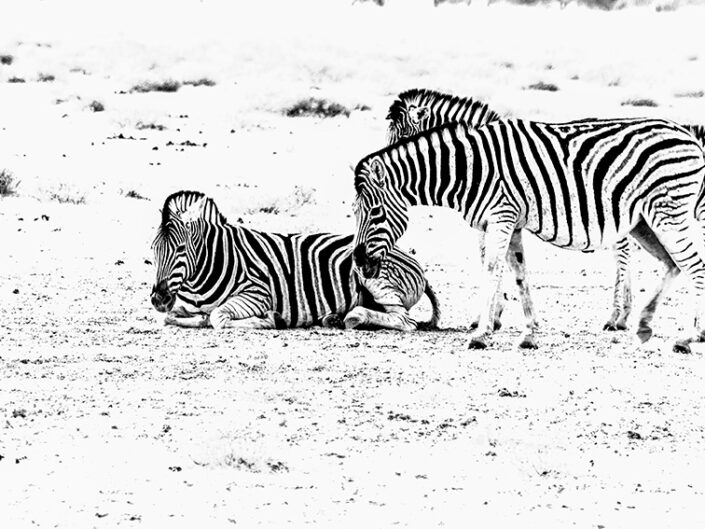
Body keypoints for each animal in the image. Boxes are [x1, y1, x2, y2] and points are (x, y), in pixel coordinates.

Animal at [150, 190, 440, 330]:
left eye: (181, 249)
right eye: (153, 251)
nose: (158, 299)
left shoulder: (257, 293)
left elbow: (219, 318)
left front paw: (271, 319)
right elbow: (172, 318)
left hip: (375, 277)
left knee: (404, 321)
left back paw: (353, 317)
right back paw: (334, 318)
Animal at [352, 117, 704, 352]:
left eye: (375, 212)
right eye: (356, 213)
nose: (358, 263)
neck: (468, 169)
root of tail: (688, 136)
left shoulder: (501, 217)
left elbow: (491, 271)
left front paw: (481, 334)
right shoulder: (514, 223)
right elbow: (520, 276)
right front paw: (529, 335)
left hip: (667, 215)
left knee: (694, 266)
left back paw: (688, 337)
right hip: (644, 222)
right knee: (673, 264)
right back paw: (644, 325)